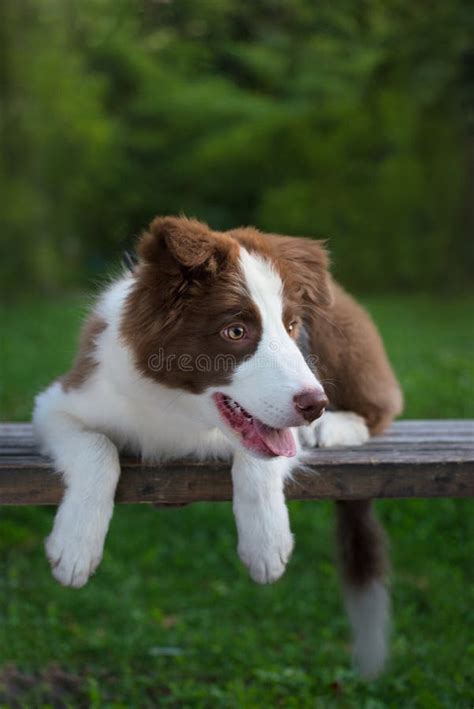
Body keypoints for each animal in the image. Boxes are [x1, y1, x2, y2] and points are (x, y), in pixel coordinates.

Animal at [34, 216, 404, 676]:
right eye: (236, 331)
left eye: (291, 327)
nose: (315, 406)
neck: (182, 407)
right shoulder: (58, 404)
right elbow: (97, 450)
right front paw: (74, 548)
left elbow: (261, 457)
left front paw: (267, 544)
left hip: (343, 328)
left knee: (383, 406)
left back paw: (337, 426)